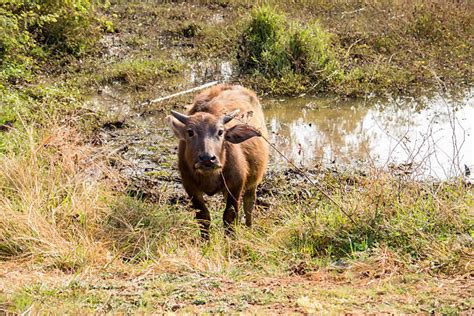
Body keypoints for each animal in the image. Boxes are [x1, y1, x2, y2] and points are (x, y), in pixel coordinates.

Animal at [168, 85, 270, 238]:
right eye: (190, 132)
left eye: (220, 132)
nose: (207, 158)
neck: (209, 176)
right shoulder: (190, 187)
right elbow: (203, 217)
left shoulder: (235, 185)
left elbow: (230, 216)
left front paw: (230, 240)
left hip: (254, 181)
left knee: (249, 204)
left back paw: (250, 227)